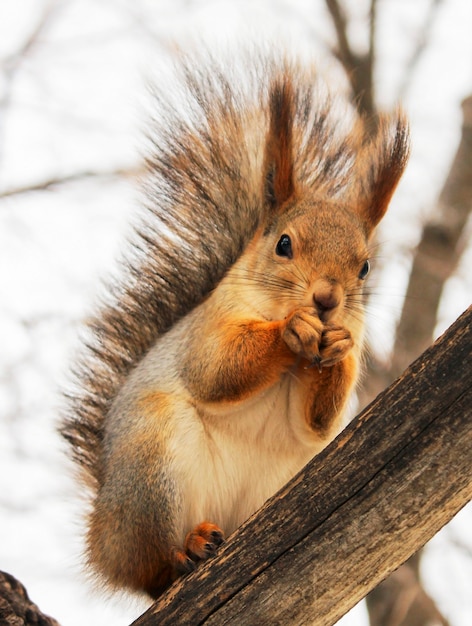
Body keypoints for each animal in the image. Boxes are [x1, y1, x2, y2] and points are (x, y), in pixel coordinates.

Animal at [61, 47, 410, 596]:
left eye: (365, 267)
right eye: (284, 244)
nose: (327, 299)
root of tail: (105, 542)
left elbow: (318, 420)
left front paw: (337, 349)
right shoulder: (209, 327)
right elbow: (218, 370)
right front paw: (291, 331)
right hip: (153, 465)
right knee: (154, 569)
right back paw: (187, 548)